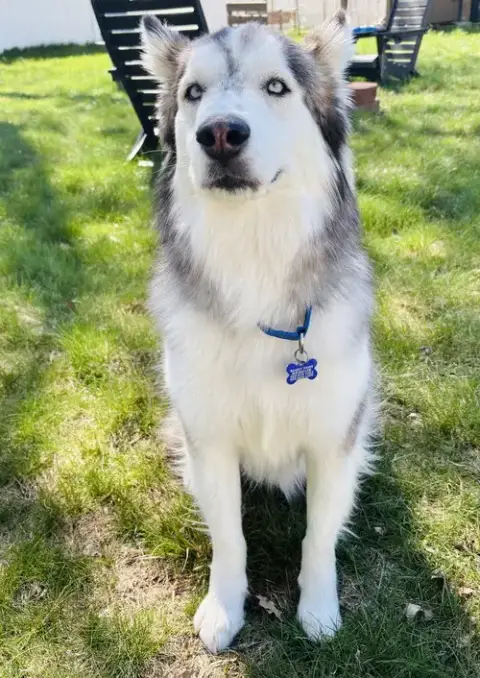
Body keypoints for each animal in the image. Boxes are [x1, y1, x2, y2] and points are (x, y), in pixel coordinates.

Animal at [141, 12, 375, 653]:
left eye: (276, 86)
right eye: (194, 93)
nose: (220, 134)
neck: (255, 264)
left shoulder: (333, 441)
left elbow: (319, 536)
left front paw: (319, 610)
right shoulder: (210, 441)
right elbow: (230, 537)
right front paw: (225, 607)